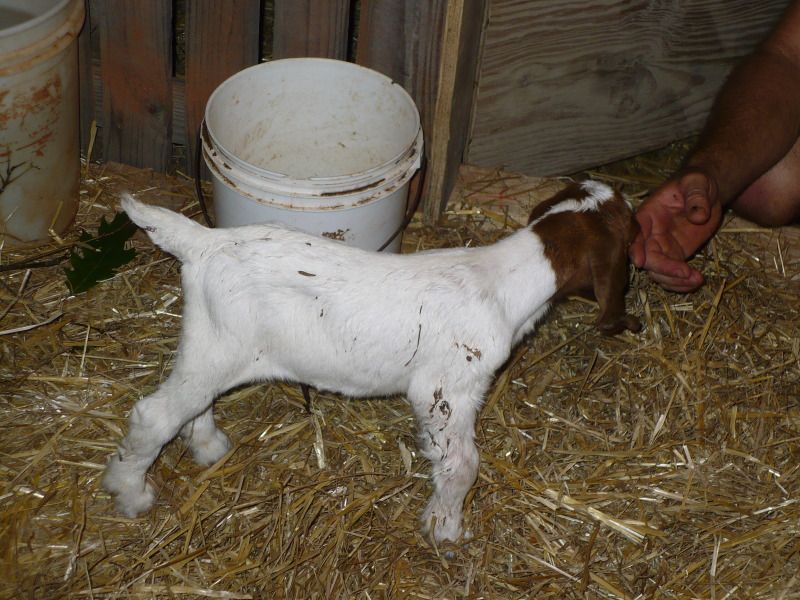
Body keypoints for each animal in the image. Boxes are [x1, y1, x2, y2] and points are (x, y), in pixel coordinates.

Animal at [102, 180, 640, 543]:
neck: (500, 281)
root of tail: (204, 242)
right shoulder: (447, 387)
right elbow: (462, 463)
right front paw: (445, 528)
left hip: (214, 344)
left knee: (192, 403)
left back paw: (208, 446)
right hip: (219, 348)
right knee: (154, 415)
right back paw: (130, 492)